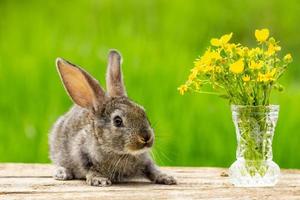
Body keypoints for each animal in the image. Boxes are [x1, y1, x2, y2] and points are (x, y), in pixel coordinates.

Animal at [48, 49, 176, 186]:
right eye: (117, 121)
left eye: (143, 112)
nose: (146, 137)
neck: (120, 152)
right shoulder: (81, 154)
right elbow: (90, 169)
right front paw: (99, 180)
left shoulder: (146, 161)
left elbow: (152, 169)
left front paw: (166, 177)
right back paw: (62, 173)